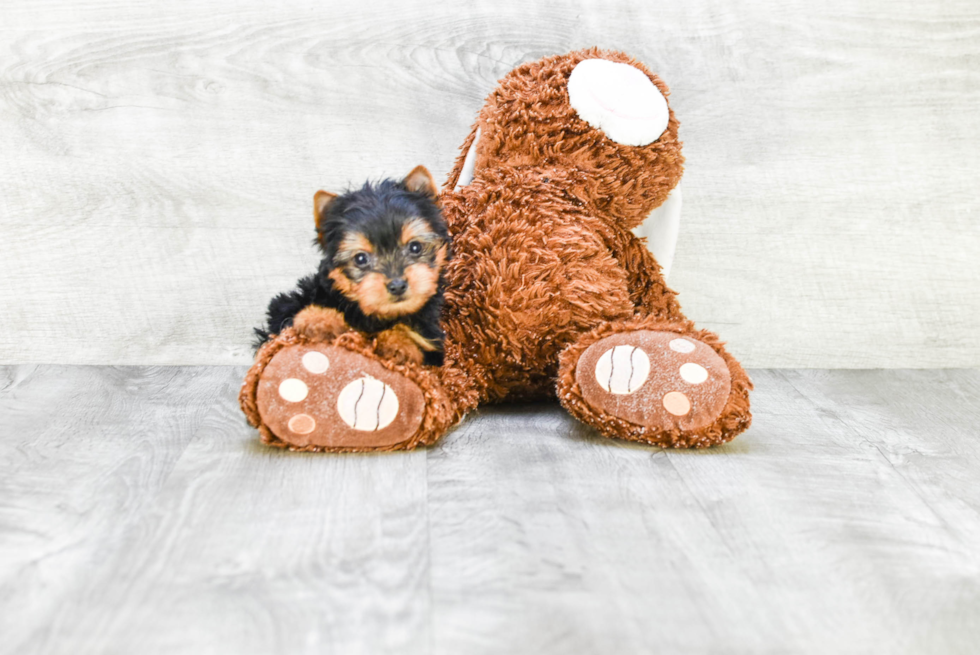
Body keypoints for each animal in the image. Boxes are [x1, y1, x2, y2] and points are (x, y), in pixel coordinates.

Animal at [255, 167, 450, 366]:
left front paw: (399, 344)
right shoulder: (286, 306)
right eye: (360, 258)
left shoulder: (433, 346)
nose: (397, 286)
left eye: (415, 247)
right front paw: (316, 319)